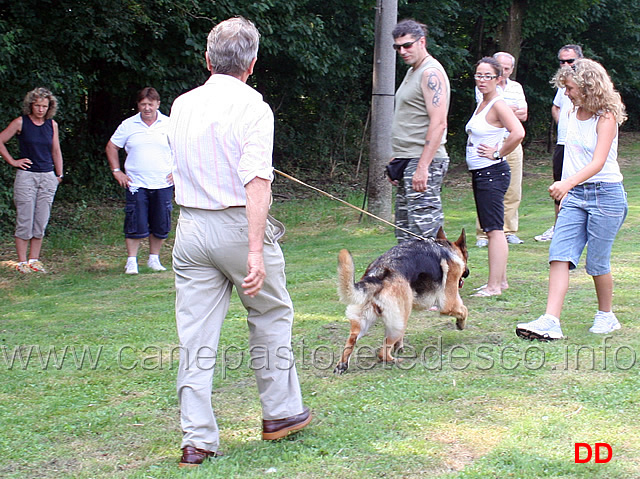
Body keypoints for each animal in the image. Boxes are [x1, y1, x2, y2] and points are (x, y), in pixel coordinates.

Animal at [332, 229, 468, 376]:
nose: (467, 272)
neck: (444, 247)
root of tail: (376, 276)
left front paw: (399, 347)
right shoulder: (449, 303)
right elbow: (464, 310)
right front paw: (460, 324)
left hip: (369, 322)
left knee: (351, 341)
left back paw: (342, 365)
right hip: (399, 322)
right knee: (383, 352)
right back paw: (396, 360)